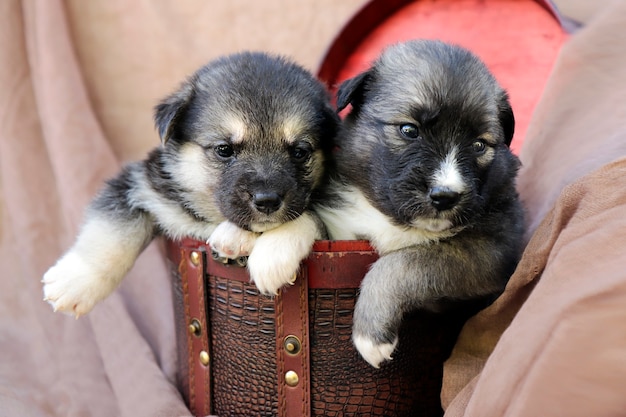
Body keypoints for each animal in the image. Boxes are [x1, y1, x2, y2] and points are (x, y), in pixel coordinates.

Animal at [42, 51, 336, 316]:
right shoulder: (140, 185)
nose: (267, 201)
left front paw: (271, 255)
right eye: (224, 149)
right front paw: (75, 281)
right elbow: (112, 235)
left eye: (299, 152)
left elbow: (310, 217)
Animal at [314, 39, 524, 368]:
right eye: (409, 130)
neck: (393, 220)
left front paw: (371, 334)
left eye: (479, 145)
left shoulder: (492, 251)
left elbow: (404, 262)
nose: (446, 195)